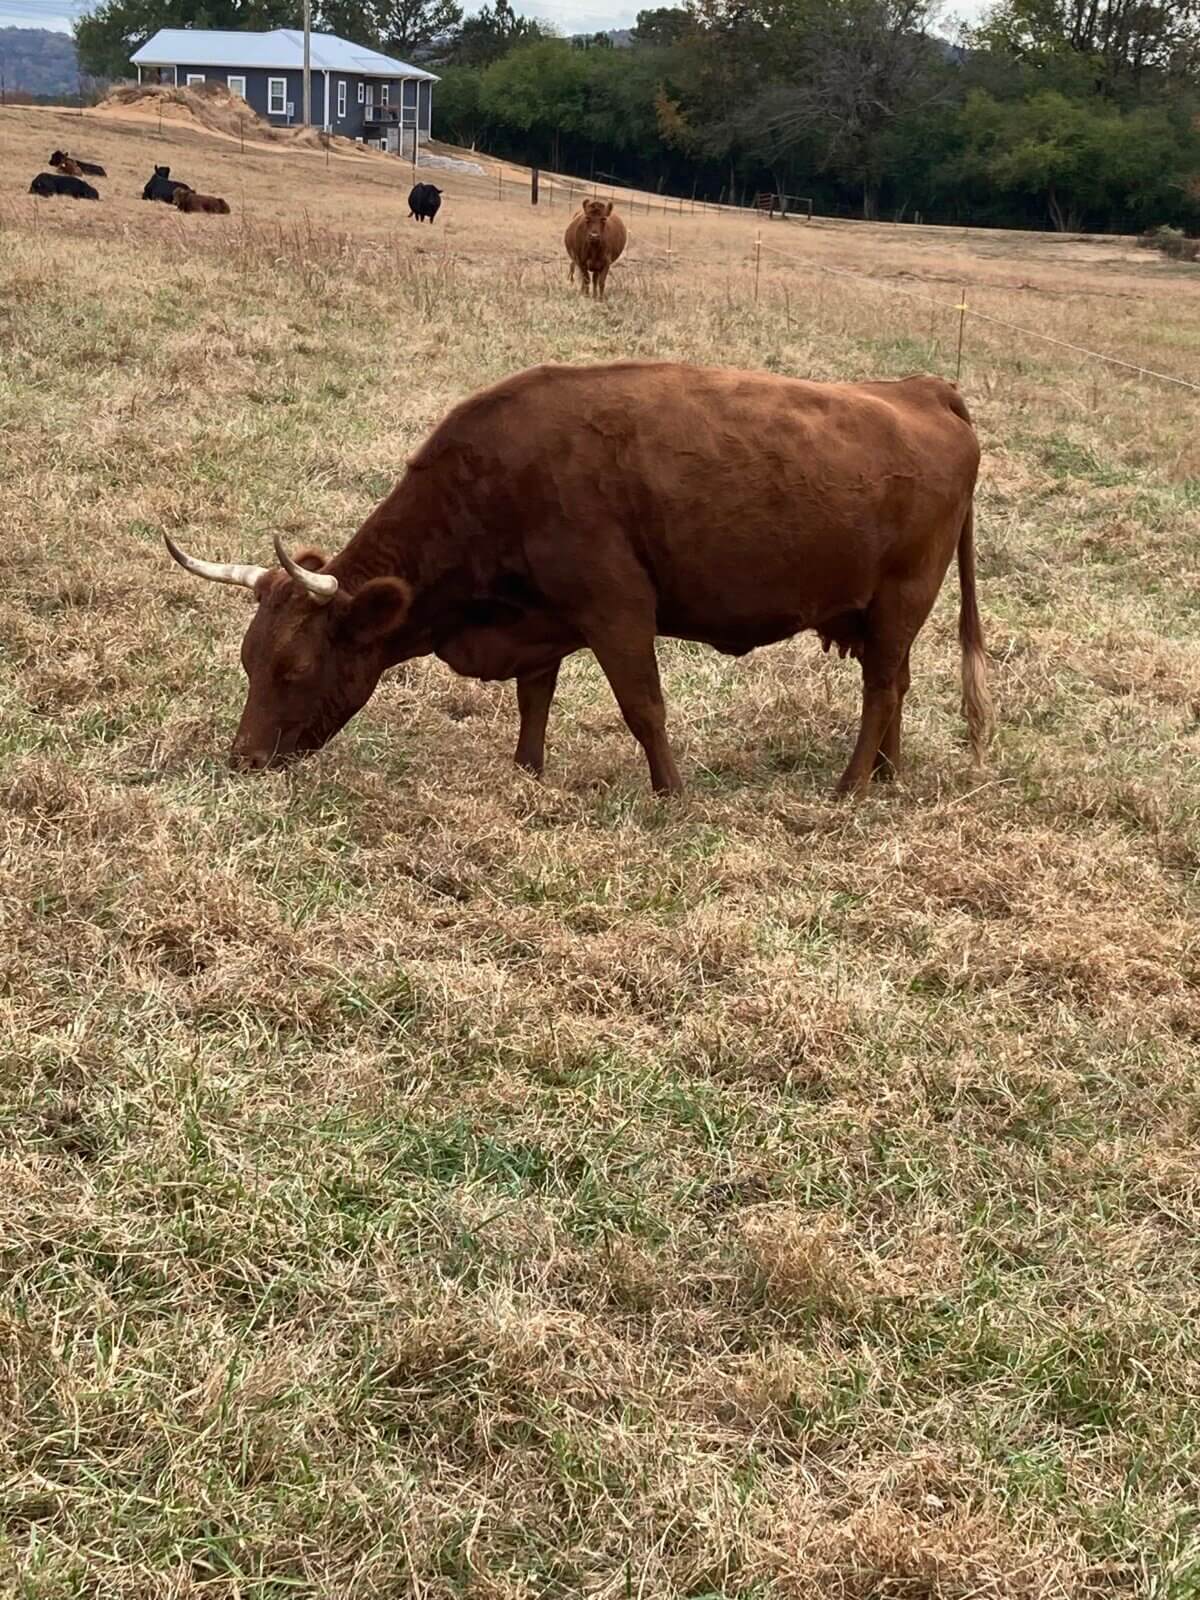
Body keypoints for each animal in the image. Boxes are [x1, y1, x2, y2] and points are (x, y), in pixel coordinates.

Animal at [163, 361, 992, 796]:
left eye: (294, 668)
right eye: (248, 663)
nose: (242, 760)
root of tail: (921, 388)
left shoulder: (616, 607)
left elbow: (643, 706)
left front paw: (671, 794)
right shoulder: (542, 617)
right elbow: (536, 698)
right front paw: (527, 772)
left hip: (902, 599)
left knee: (881, 690)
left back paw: (851, 785)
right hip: (883, 614)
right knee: (896, 686)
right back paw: (887, 776)